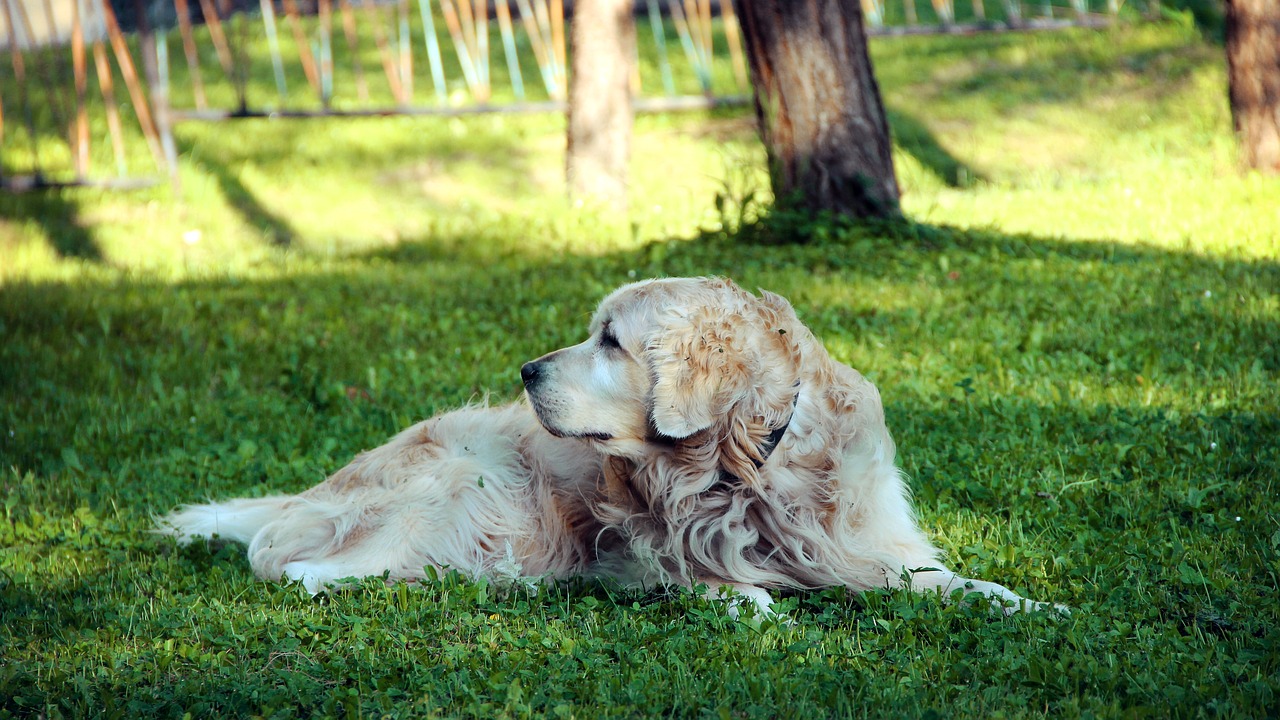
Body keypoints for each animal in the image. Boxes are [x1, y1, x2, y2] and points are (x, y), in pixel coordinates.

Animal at [157, 278, 1059, 614]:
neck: (742, 468)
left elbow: (950, 580)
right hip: (475, 488)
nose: (525, 370)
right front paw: (748, 600)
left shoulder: (858, 544)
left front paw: (1029, 603)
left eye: (610, 341)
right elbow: (720, 584)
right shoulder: (637, 554)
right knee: (301, 570)